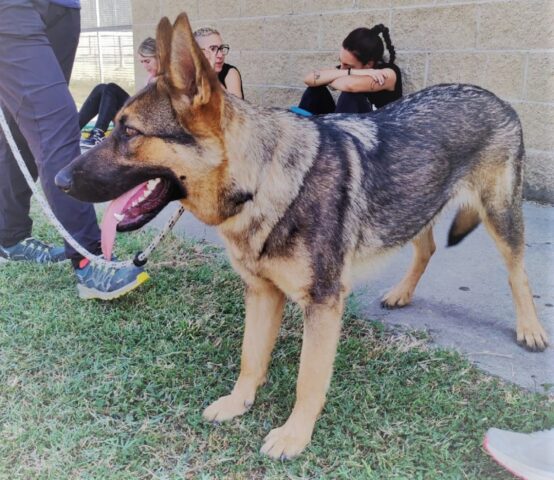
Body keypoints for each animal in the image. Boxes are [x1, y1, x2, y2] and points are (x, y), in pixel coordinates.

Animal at [54, 13, 544, 460]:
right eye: (118, 127)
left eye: (130, 132)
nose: (57, 180)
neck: (261, 180)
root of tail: (496, 98)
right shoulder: (261, 293)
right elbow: (251, 357)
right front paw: (238, 403)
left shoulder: (322, 305)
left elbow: (309, 379)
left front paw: (294, 435)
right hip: (414, 206)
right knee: (426, 246)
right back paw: (402, 293)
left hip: (500, 215)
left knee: (517, 271)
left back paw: (530, 328)